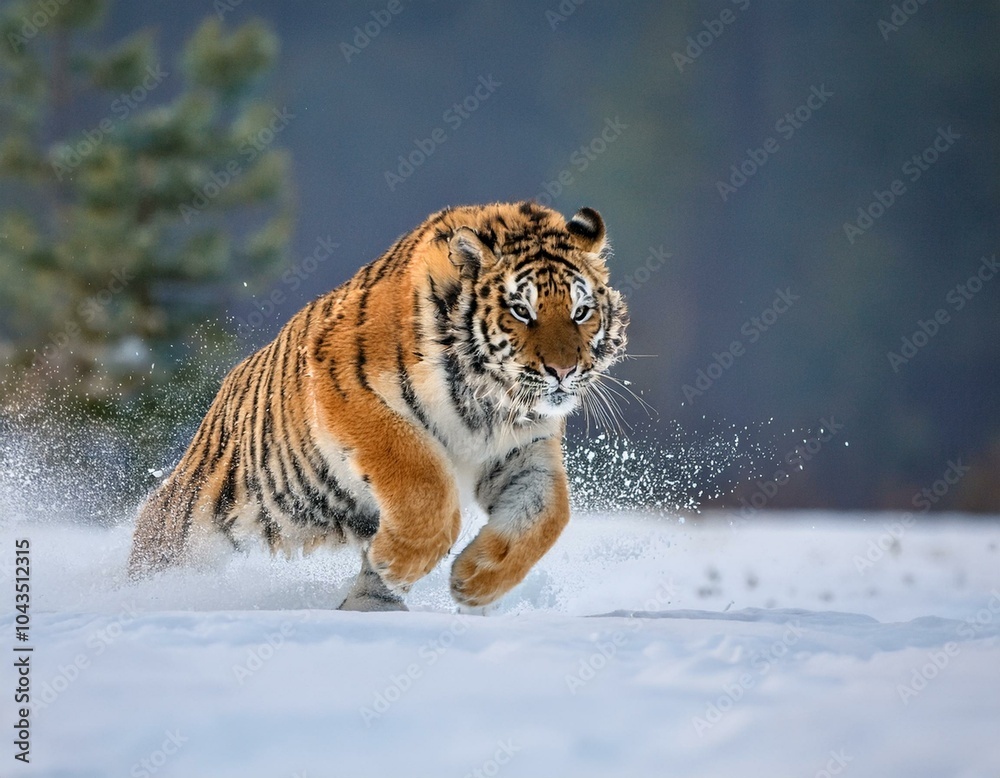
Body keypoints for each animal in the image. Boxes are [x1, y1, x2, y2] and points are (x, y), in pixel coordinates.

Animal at [128, 201, 628, 611]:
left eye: (581, 311)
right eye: (522, 311)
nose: (562, 371)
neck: (489, 400)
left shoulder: (522, 451)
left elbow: (547, 514)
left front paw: (475, 581)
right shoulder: (351, 390)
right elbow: (423, 480)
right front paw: (396, 562)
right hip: (188, 524)